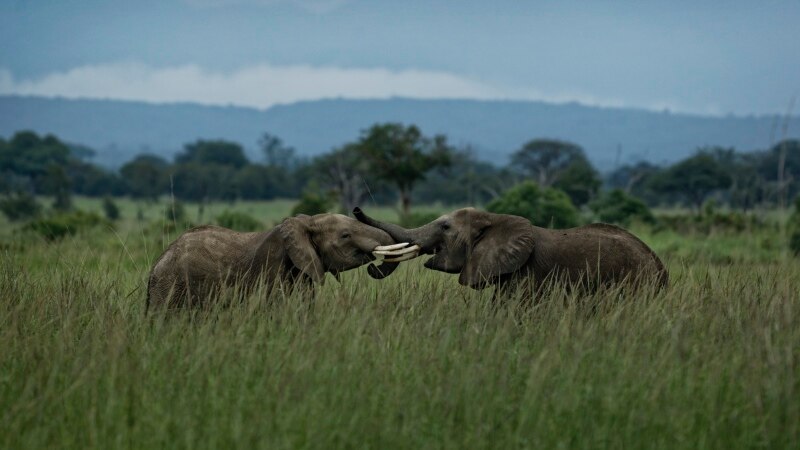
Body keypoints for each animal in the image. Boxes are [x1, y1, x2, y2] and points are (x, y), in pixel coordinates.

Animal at [146, 214, 418, 312]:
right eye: (345, 236)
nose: (373, 266)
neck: (306, 221)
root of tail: (156, 265)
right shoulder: (272, 268)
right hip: (170, 288)